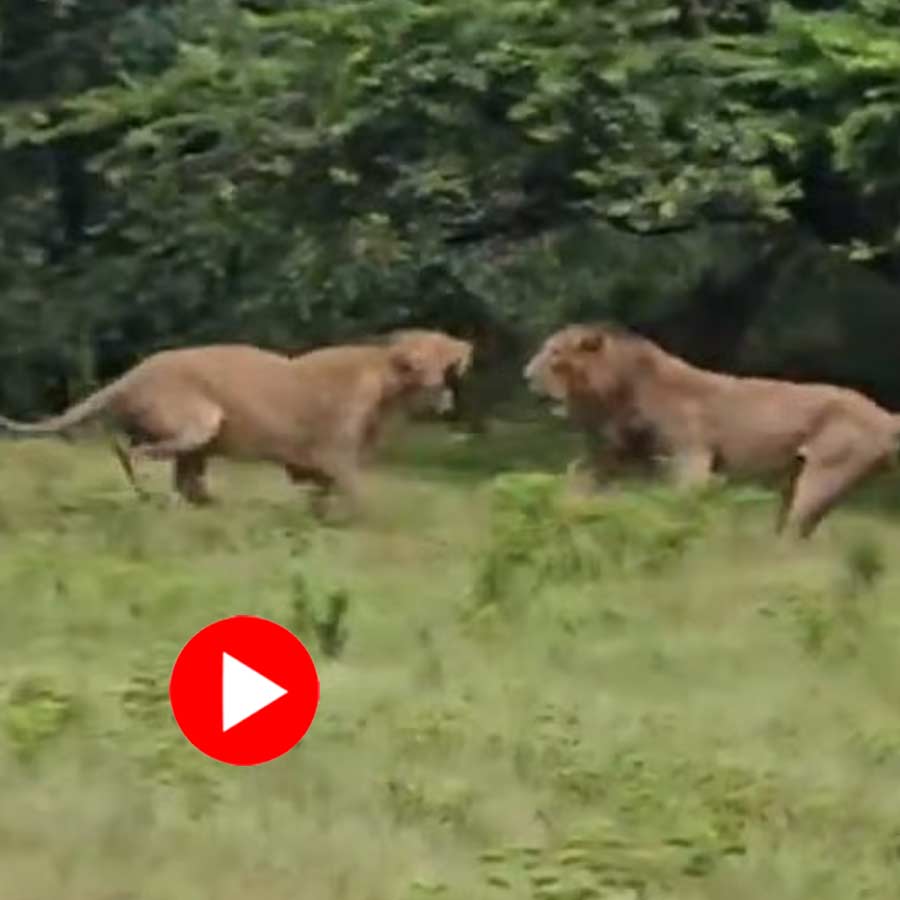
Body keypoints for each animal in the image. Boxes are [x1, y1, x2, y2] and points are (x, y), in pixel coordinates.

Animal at [0, 329, 473, 516]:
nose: (448, 396)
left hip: (200, 442)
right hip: (201, 420)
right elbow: (358, 498)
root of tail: (135, 372)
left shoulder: (320, 465)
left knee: (180, 477)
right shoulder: (333, 454)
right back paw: (155, 496)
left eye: (447, 356)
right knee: (133, 452)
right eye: (429, 356)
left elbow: (324, 496)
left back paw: (201, 505)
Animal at [524, 323, 900, 538]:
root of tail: (885, 415)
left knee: (795, 532)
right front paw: (559, 519)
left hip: (825, 475)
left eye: (555, 352)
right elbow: (577, 486)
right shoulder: (612, 453)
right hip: (798, 480)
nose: (526, 375)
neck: (618, 393)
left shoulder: (692, 457)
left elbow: (679, 508)